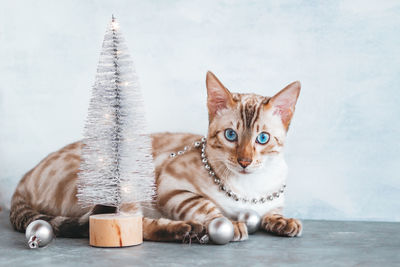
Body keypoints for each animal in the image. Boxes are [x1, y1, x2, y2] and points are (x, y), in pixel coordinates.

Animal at [9, 72, 302, 244]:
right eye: (231, 135)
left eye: (262, 139)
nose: (244, 161)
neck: (247, 191)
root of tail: (24, 179)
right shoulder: (171, 187)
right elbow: (206, 206)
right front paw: (230, 224)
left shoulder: (271, 200)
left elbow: (271, 213)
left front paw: (283, 222)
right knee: (129, 225)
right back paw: (185, 229)